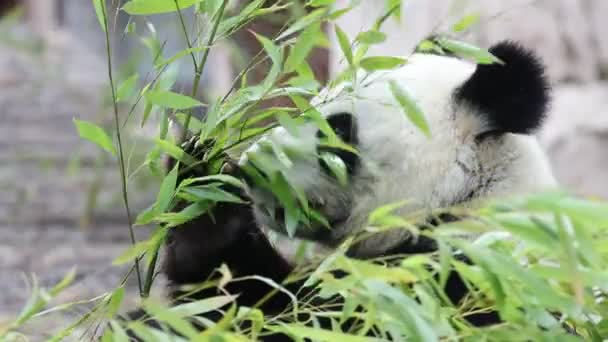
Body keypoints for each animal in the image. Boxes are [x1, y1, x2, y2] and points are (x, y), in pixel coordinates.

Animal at [123, 40, 556, 340]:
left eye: (337, 130)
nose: (253, 168)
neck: (468, 198)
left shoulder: (456, 281)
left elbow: (289, 320)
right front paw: (202, 180)